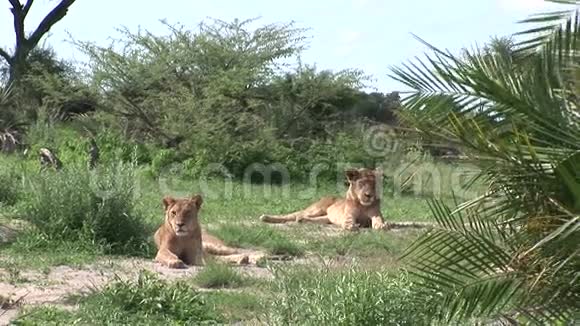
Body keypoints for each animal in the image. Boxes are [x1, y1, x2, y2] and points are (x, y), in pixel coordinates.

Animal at [260, 168, 390, 232]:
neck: (362, 205)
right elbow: (348, 221)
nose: (369, 195)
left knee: (302, 217)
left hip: (325, 218)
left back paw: (301, 220)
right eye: (361, 183)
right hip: (317, 209)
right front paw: (350, 226)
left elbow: (378, 220)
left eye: (374, 184)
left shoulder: (375, 214)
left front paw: (382, 225)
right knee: (295, 215)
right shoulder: (348, 215)